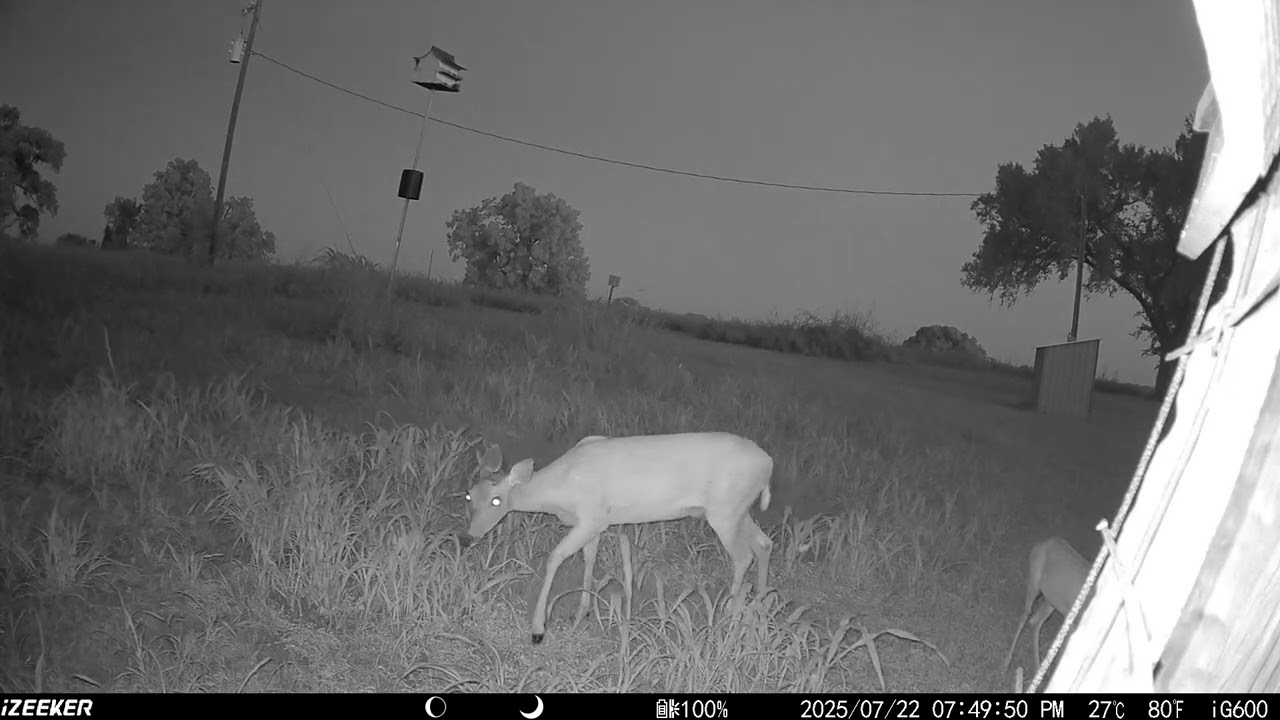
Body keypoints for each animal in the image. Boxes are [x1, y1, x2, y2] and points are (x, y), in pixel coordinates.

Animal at [459, 432, 775, 644]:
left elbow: (554, 558)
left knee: (743, 555)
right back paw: (757, 606)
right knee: (764, 544)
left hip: (725, 511)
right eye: (469, 496)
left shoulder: (590, 518)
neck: (561, 492)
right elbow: (588, 559)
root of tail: (769, 464)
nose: (466, 538)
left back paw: (729, 616)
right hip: (738, 510)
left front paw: (538, 629)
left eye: (497, 501)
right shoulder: (596, 523)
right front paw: (582, 613)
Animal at [1002, 536, 1090, 673]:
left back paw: (1038, 668)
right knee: (1025, 615)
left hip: (1051, 599)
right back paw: (1007, 662)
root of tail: (1042, 542)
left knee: (1035, 622)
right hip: (1034, 583)